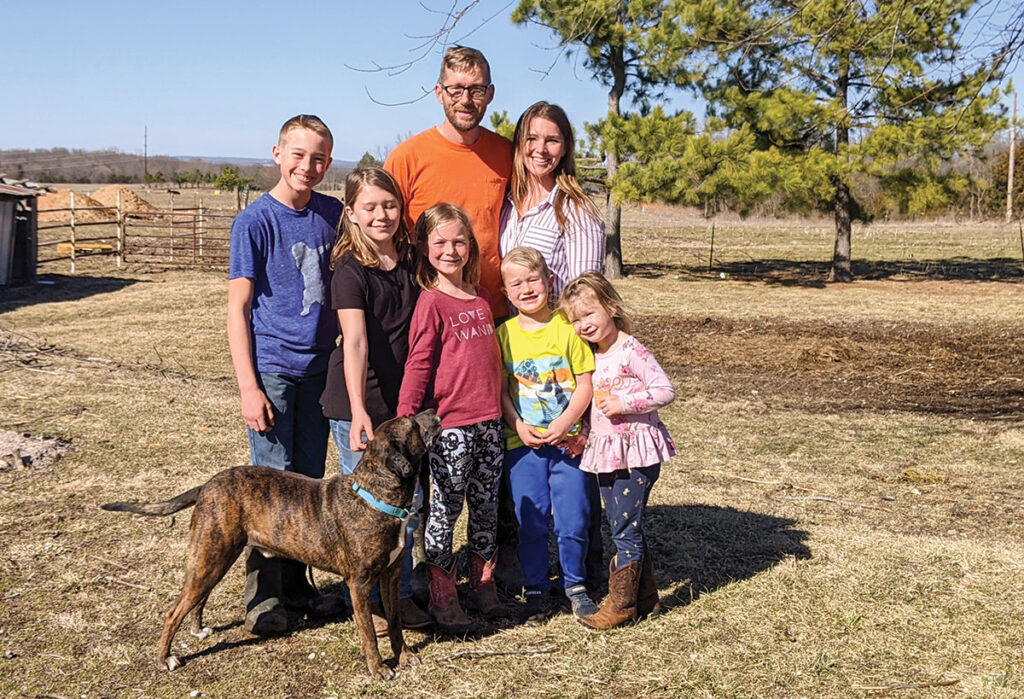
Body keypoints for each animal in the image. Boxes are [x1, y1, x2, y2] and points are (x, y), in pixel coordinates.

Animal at [101, 409, 442, 679]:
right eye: (412, 423)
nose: (434, 411)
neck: (376, 497)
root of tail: (208, 485)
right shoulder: (359, 584)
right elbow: (369, 632)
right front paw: (378, 668)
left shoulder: (391, 576)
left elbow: (395, 622)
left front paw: (404, 656)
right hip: (210, 558)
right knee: (174, 611)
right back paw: (165, 659)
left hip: (213, 559)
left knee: (197, 600)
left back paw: (197, 629)